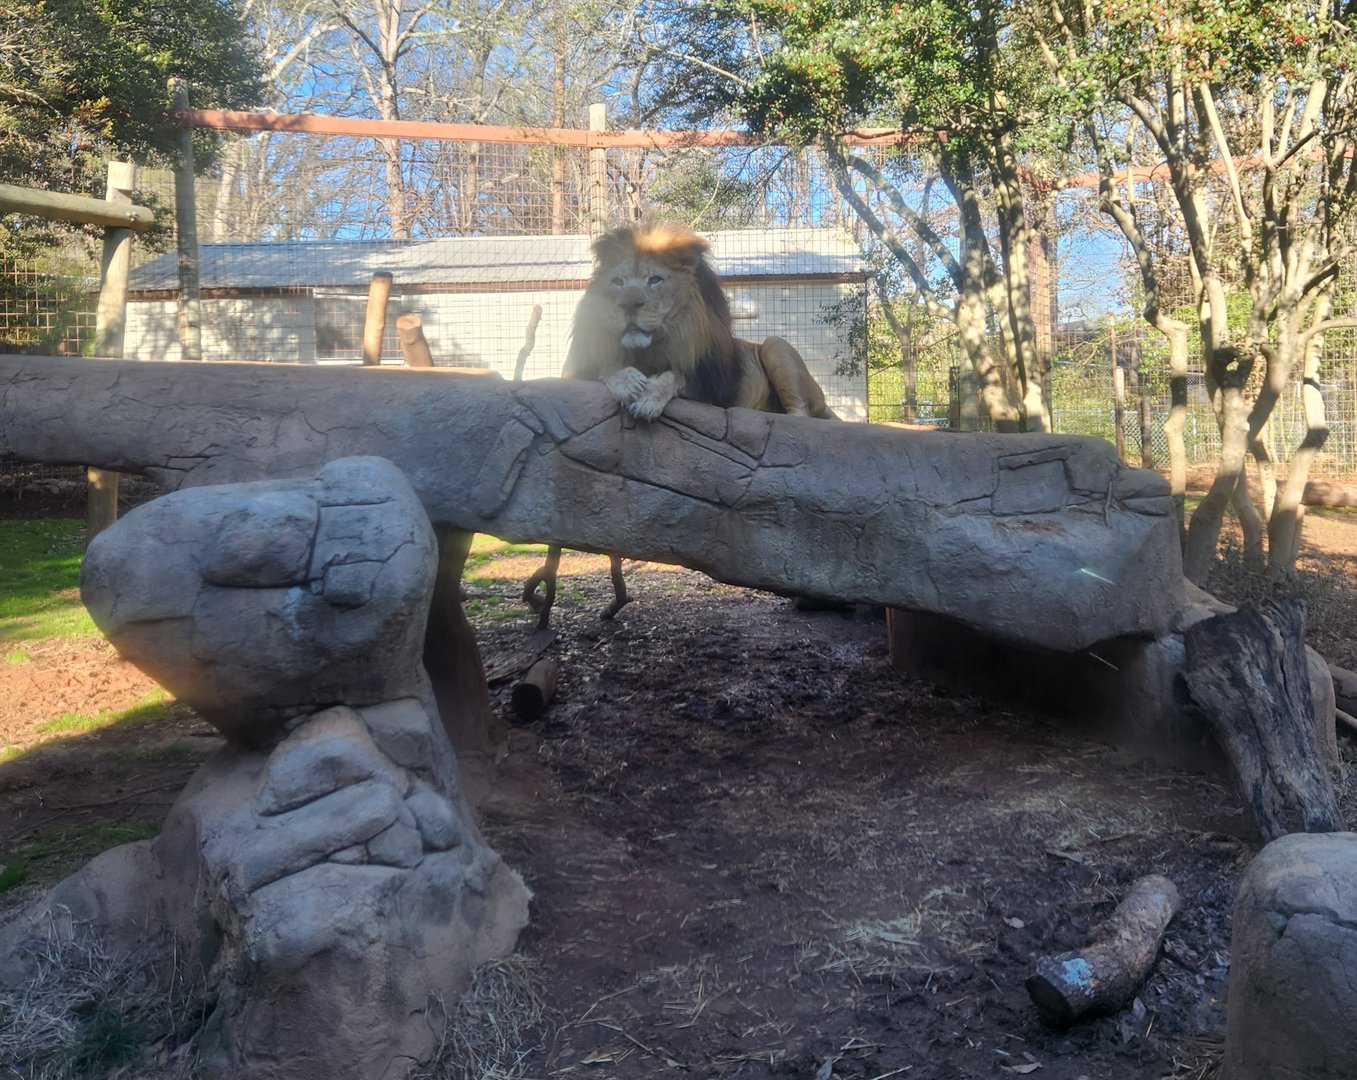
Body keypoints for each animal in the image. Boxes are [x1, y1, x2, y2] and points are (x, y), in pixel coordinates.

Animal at [523, 221, 838, 629]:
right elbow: (608, 368)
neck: (648, 350)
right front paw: (627, 382)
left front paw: (648, 398)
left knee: (801, 414)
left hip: (775, 346)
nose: (628, 305)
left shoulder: (705, 387)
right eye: (618, 282)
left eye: (655, 280)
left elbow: (675, 377)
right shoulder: (589, 367)